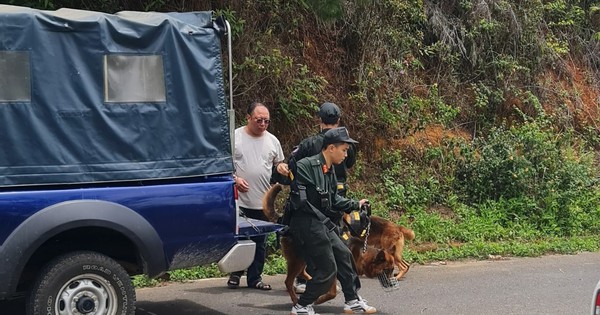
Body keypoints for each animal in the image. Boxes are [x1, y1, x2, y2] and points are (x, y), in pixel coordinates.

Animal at [262, 184, 394, 304]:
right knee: (289, 281)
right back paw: (295, 299)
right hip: (298, 260)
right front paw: (320, 299)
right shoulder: (336, 273)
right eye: (387, 270)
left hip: (304, 259)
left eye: (392, 270)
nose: (392, 284)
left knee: (302, 273)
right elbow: (332, 293)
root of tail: (284, 224)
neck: (362, 253)